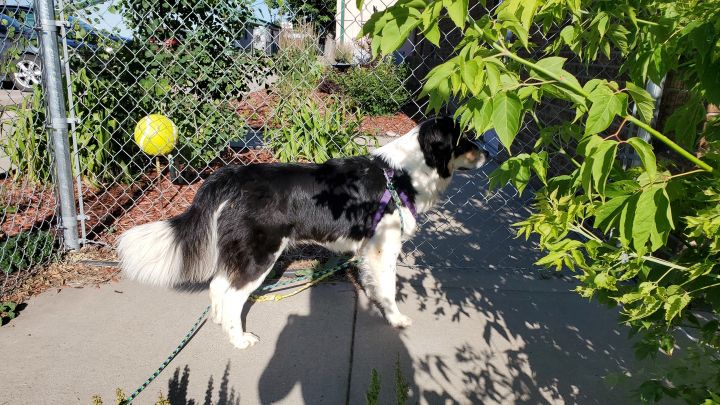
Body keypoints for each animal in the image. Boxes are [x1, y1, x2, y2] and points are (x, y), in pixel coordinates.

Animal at [118, 116, 490, 348]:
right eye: (465, 139)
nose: (489, 153)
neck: (402, 174)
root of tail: (235, 175)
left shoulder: (369, 250)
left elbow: (374, 285)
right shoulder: (384, 247)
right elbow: (388, 288)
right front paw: (395, 319)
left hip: (240, 250)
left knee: (218, 285)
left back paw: (220, 322)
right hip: (261, 253)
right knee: (233, 294)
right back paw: (239, 339)